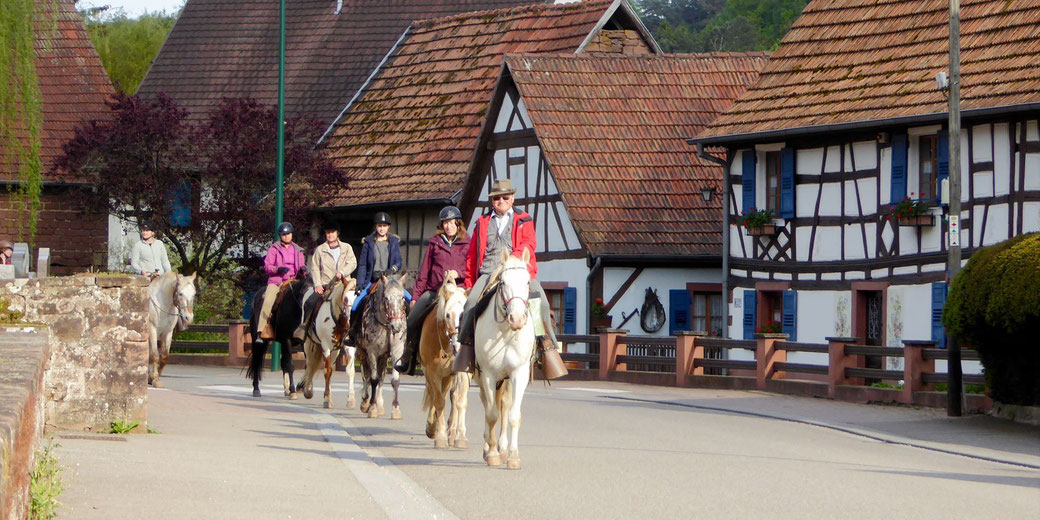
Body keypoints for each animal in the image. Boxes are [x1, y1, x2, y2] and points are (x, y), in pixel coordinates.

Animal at [299, 278, 359, 407]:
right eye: (345, 299)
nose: (351, 320)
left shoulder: (349, 346)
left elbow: (350, 370)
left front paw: (351, 399)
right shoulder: (325, 346)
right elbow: (327, 372)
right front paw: (327, 399)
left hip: (335, 350)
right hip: (308, 344)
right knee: (310, 364)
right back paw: (308, 389)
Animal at [355, 272, 407, 418]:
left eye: (402, 297)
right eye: (386, 297)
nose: (397, 326)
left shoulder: (397, 351)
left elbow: (394, 380)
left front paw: (395, 410)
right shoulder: (372, 351)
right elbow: (373, 379)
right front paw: (372, 408)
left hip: (383, 357)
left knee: (381, 377)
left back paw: (380, 405)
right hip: (362, 352)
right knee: (366, 375)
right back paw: (365, 402)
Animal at [420, 278, 474, 449]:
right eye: (448, 315)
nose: (459, 346)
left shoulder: (462, 372)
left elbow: (460, 401)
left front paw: (460, 437)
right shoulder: (432, 372)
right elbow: (439, 401)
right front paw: (440, 437)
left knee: (451, 396)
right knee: (435, 394)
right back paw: (433, 427)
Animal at [474, 249, 532, 470]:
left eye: (527, 281)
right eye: (504, 282)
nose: (517, 319)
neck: (507, 332)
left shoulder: (519, 374)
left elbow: (514, 415)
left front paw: (513, 456)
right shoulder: (488, 374)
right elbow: (491, 414)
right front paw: (491, 454)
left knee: (505, 406)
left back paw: (503, 447)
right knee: (487, 405)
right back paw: (489, 447)